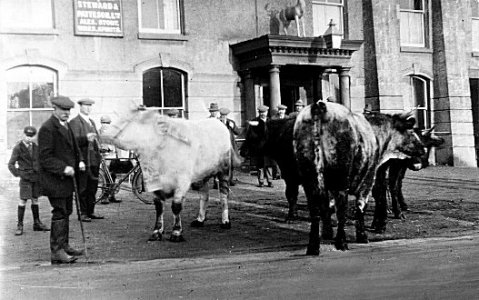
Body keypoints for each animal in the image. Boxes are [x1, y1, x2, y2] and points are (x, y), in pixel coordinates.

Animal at [101, 105, 244, 241]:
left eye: (129, 120)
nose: (104, 135)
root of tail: (218, 123)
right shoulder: (154, 184)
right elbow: (159, 207)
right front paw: (157, 232)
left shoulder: (182, 182)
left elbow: (176, 207)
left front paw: (176, 233)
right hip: (201, 175)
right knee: (204, 195)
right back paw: (200, 220)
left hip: (224, 170)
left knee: (223, 195)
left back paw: (225, 221)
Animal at [294, 102, 426, 254]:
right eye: (411, 132)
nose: (423, 150)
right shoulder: (369, 177)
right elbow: (361, 205)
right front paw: (363, 234)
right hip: (341, 178)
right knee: (343, 209)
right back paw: (342, 242)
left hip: (310, 179)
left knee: (315, 210)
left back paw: (313, 247)